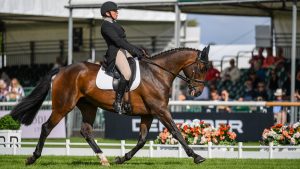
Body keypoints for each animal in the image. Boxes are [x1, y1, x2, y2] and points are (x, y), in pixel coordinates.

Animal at [10, 46, 210, 165]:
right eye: (202, 68)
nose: (198, 92)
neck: (157, 73)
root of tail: (62, 69)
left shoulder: (149, 113)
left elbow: (142, 139)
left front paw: (122, 158)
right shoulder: (160, 111)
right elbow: (177, 132)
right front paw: (197, 156)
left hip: (88, 106)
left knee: (86, 131)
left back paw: (104, 159)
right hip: (63, 106)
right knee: (46, 127)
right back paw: (33, 157)